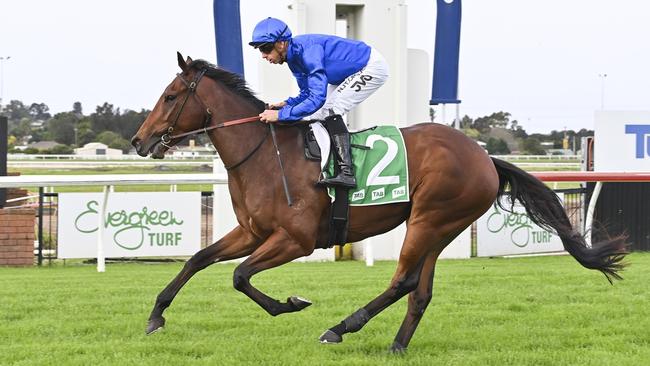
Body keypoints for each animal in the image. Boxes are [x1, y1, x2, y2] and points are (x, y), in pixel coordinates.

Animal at [130, 53, 624, 352]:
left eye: (170, 97)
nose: (139, 141)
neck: (265, 155)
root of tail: (484, 156)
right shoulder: (251, 231)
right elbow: (198, 259)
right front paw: (155, 317)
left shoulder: (295, 239)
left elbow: (239, 276)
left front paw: (292, 303)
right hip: (440, 227)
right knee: (420, 290)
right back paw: (397, 345)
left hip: (430, 219)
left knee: (403, 281)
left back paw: (340, 328)